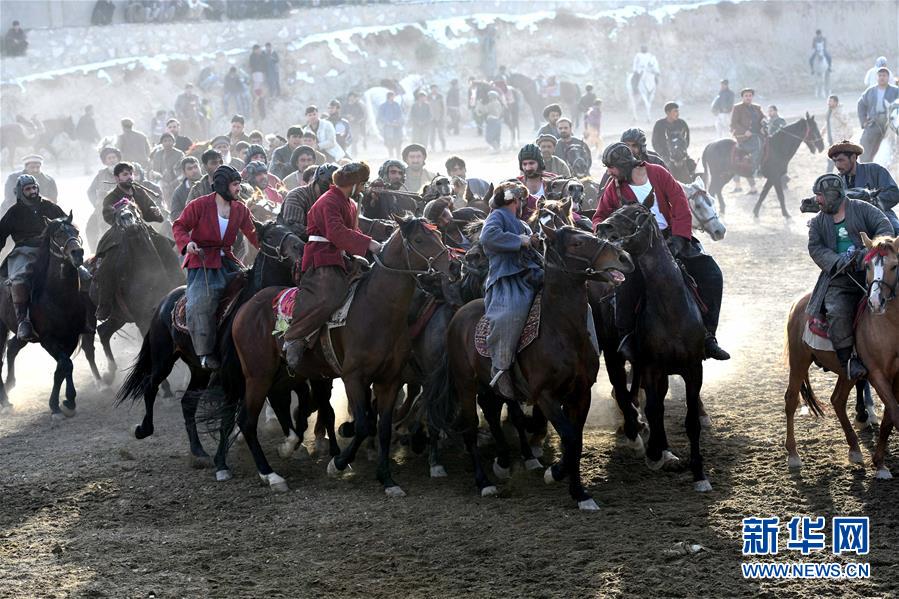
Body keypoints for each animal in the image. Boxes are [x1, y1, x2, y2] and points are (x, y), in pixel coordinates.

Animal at [0, 214, 86, 418]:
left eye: (76, 231)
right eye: (58, 234)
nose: (78, 253)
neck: (59, 298)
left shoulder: (70, 338)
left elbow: (62, 368)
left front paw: (66, 401)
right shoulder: (48, 339)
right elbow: (65, 365)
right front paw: (59, 404)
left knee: (12, 347)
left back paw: (9, 387)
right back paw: (5, 400)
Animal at [221, 216, 454, 492]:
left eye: (438, 235)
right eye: (419, 240)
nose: (453, 265)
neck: (378, 309)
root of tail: (247, 306)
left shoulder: (389, 380)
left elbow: (383, 428)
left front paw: (387, 479)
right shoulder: (354, 377)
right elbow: (363, 425)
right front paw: (338, 463)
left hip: (281, 374)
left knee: (272, 405)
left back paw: (287, 448)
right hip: (258, 375)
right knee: (247, 420)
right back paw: (270, 474)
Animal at [428, 225, 632, 510]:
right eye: (578, 243)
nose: (624, 257)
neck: (562, 331)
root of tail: (459, 314)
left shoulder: (581, 393)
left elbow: (577, 440)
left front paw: (579, 492)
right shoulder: (545, 396)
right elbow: (569, 438)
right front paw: (556, 474)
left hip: (489, 386)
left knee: (491, 412)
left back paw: (503, 463)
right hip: (465, 384)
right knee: (470, 427)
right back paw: (484, 482)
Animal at [596, 202, 716, 492]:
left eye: (637, 214)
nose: (602, 228)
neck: (670, 306)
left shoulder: (693, 368)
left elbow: (690, 419)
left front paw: (699, 473)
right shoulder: (652, 367)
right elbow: (652, 409)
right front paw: (654, 452)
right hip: (614, 355)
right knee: (624, 391)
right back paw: (638, 437)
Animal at [700, 113, 828, 217]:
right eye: (814, 129)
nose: (822, 146)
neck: (778, 147)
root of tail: (711, 145)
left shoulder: (771, 178)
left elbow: (763, 195)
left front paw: (756, 212)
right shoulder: (775, 178)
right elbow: (780, 196)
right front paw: (786, 214)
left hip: (726, 175)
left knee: (717, 189)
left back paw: (722, 209)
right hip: (717, 175)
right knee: (712, 190)